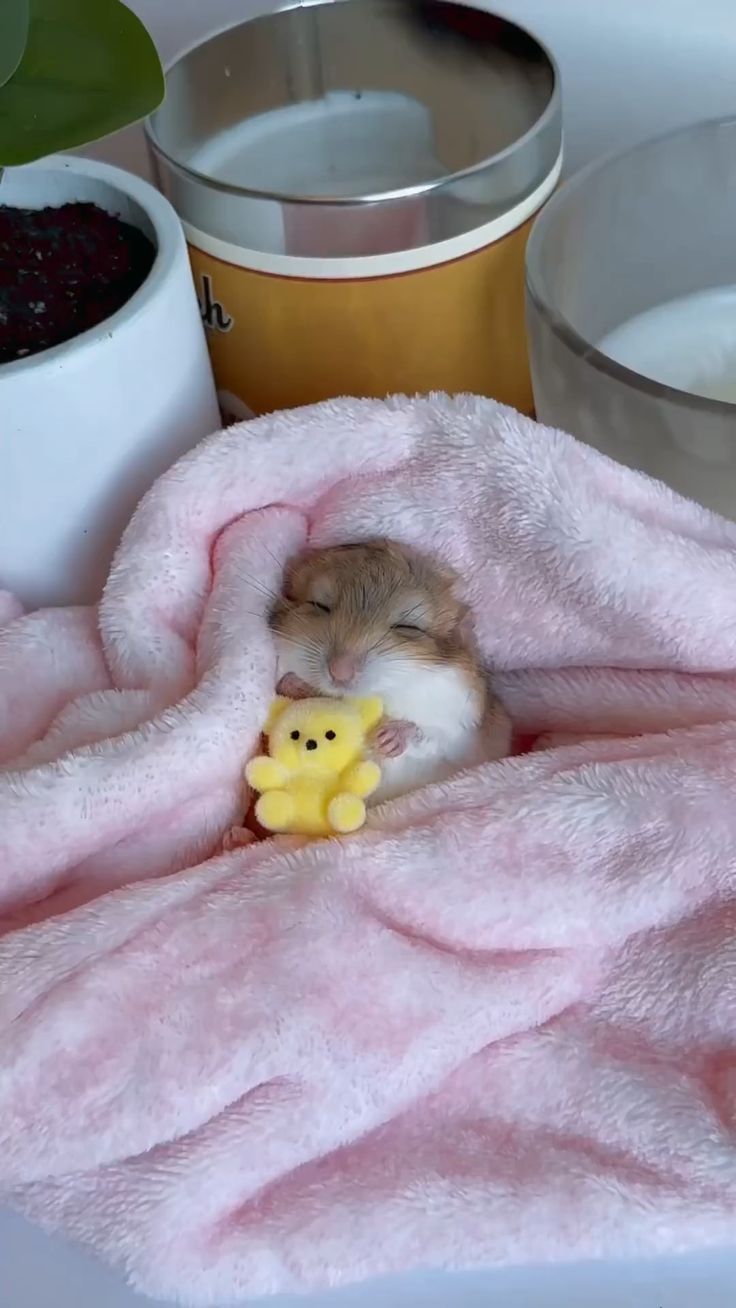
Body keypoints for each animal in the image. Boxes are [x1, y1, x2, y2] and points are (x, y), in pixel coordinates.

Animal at [269, 539, 511, 803]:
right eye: (319, 605)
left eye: (408, 626)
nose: (339, 672)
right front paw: (298, 686)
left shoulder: (462, 725)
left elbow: (431, 734)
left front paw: (385, 738)